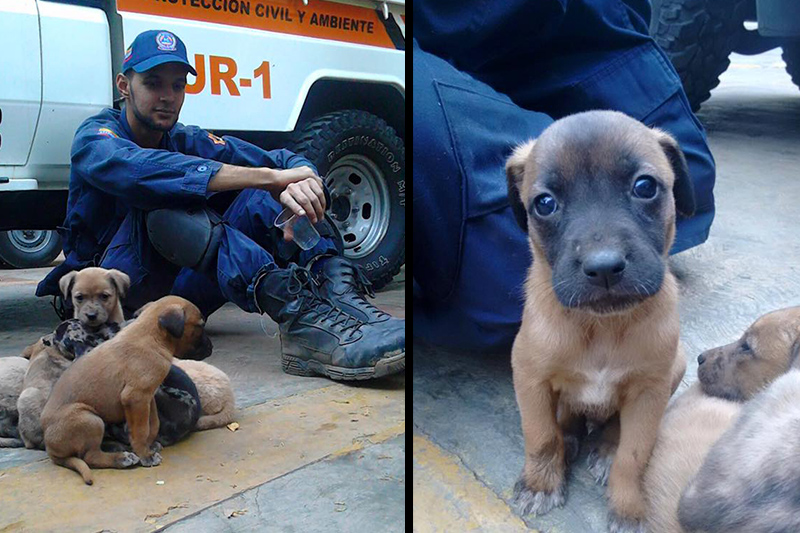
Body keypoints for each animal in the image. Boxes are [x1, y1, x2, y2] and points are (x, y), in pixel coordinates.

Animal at [40, 294, 212, 484]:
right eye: (200, 325)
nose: (211, 347)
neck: (151, 338)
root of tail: (51, 450)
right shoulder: (135, 397)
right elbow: (140, 429)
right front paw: (145, 455)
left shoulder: (148, 397)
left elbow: (153, 424)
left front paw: (149, 446)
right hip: (90, 419)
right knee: (90, 456)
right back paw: (121, 458)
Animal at [506, 110, 692, 528]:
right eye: (544, 203)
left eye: (645, 186)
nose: (604, 267)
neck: (602, 328)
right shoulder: (530, 376)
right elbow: (541, 436)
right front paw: (541, 485)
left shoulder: (649, 392)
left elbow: (633, 457)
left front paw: (628, 508)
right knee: (566, 420)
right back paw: (570, 439)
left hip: (676, 366)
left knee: (613, 429)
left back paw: (603, 448)